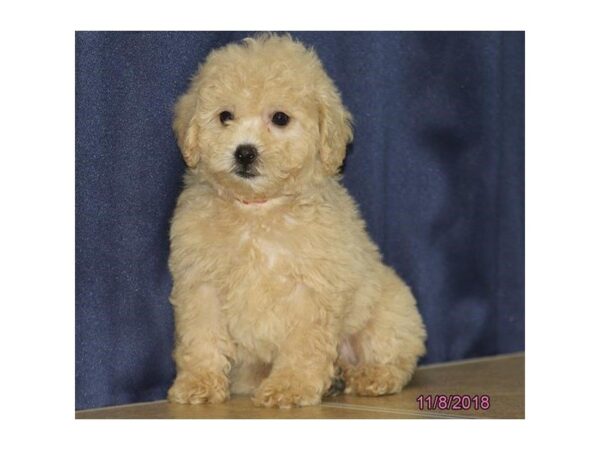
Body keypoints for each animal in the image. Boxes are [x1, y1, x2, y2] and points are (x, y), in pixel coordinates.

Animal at [165, 34, 426, 408]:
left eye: (280, 118)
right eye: (225, 116)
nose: (245, 152)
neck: (257, 209)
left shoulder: (311, 290)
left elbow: (303, 343)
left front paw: (290, 386)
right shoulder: (200, 283)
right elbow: (201, 336)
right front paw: (198, 382)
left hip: (388, 309)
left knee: (393, 356)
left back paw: (371, 376)